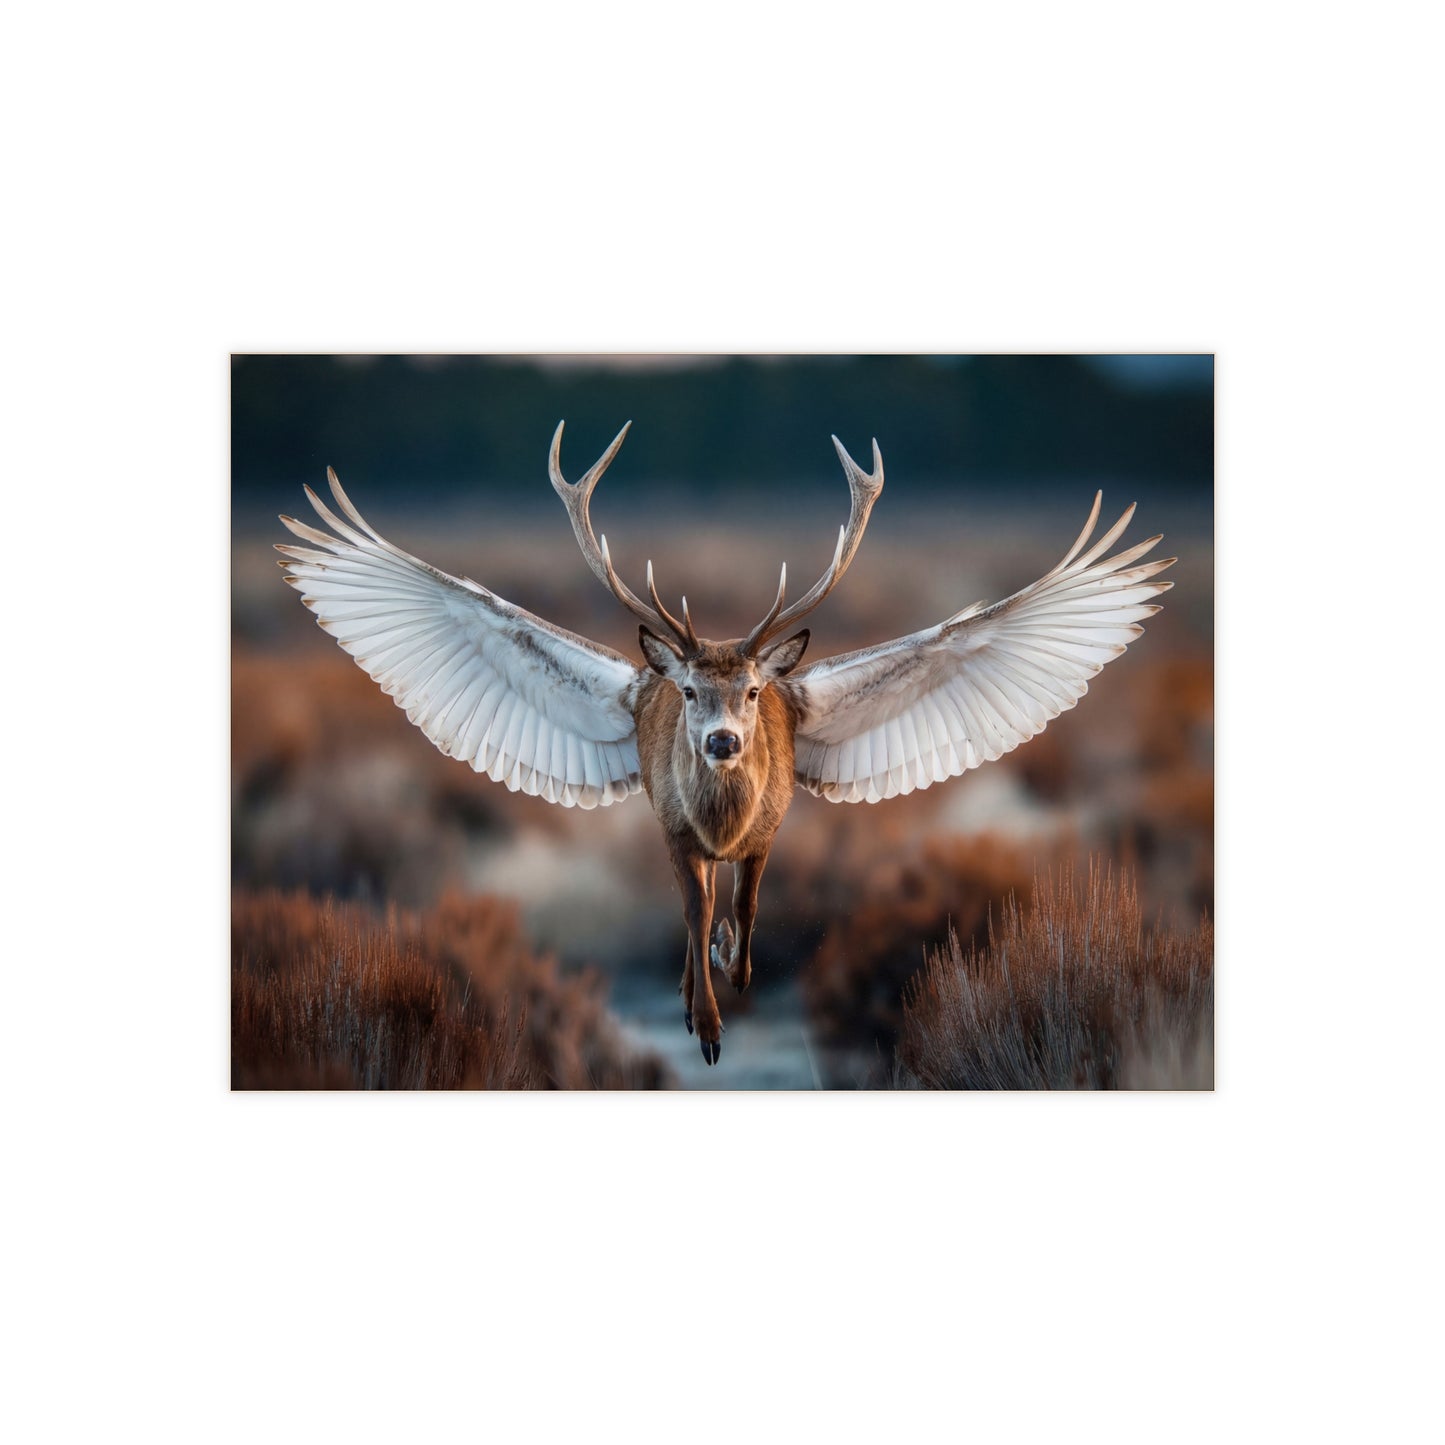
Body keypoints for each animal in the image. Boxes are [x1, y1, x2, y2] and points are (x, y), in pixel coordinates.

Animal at [278, 422, 1175, 1065]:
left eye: (749, 692)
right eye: (686, 692)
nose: (716, 741)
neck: (722, 819)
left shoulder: (770, 825)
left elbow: (745, 902)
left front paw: (738, 968)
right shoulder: (674, 828)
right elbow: (693, 905)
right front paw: (704, 1019)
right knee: (690, 904)